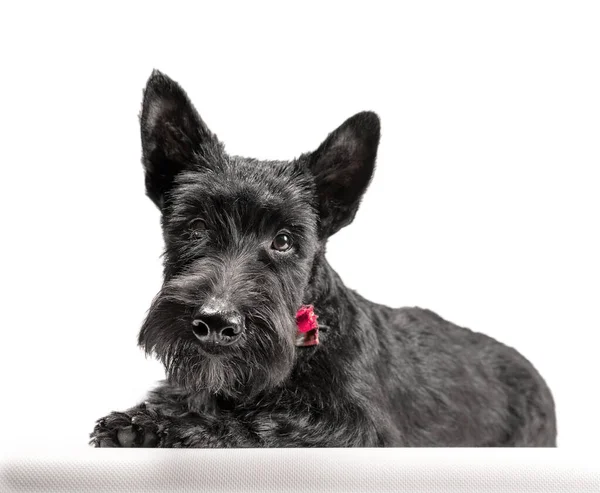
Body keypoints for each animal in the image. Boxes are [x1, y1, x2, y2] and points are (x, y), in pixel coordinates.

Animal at [90, 72, 556, 446]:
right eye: (197, 227)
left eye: (283, 240)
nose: (216, 323)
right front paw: (145, 416)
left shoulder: (355, 429)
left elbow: (260, 422)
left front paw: (156, 426)